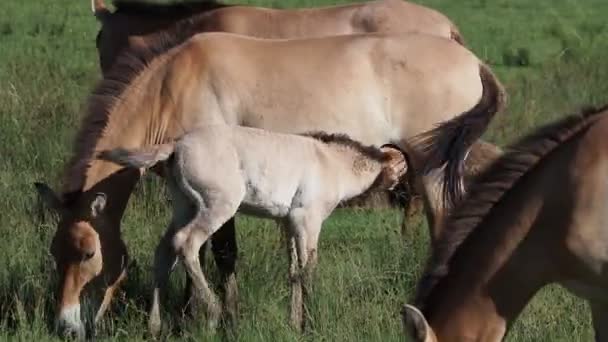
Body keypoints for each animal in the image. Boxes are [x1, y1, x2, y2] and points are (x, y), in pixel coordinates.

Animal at [95, 125, 408, 334]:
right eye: (402, 169)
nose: (400, 192)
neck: (331, 162)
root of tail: (176, 145)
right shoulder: (308, 220)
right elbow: (308, 271)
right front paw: (310, 324)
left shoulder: (288, 223)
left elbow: (293, 272)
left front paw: (294, 324)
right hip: (218, 205)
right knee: (187, 243)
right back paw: (213, 312)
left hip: (185, 205)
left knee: (164, 252)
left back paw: (155, 325)